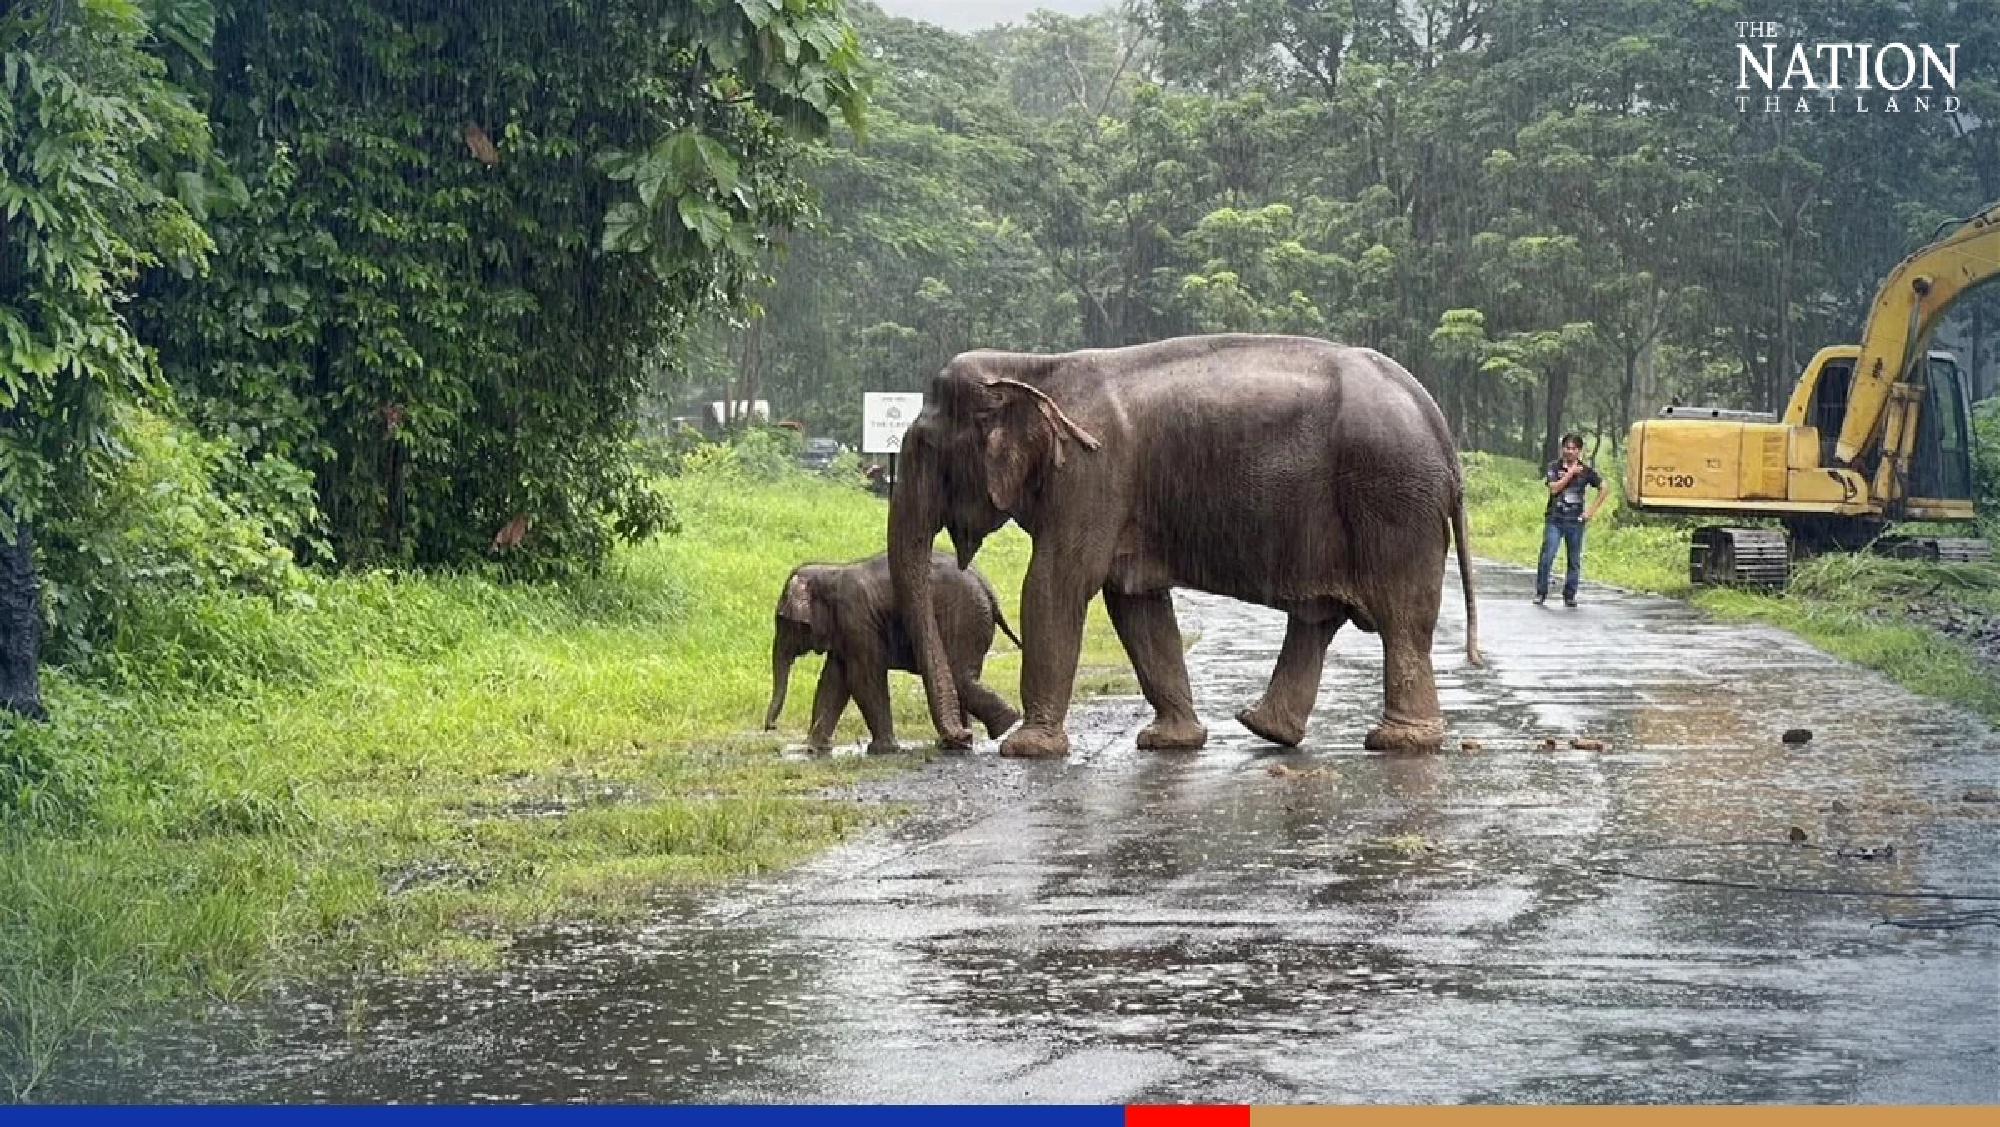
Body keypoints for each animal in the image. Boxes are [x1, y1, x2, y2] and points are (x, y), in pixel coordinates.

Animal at [764, 551, 1023, 754]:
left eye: (782, 620)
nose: (771, 728)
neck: (830, 571)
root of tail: (988, 589)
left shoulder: (856, 620)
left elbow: (862, 679)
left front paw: (882, 750)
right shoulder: (845, 632)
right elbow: (833, 681)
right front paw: (813, 749)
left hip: (964, 620)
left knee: (959, 675)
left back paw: (1005, 725)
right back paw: (958, 742)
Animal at [887, 332, 1480, 760]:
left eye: (927, 449)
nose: (960, 740)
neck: (1032, 367)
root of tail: (1437, 422)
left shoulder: (1091, 476)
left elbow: (1056, 586)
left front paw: (1027, 749)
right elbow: (1136, 605)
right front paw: (1169, 742)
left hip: (1391, 501)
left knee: (1402, 617)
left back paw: (1398, 742)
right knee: (1320, 617)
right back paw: (1266, 728)